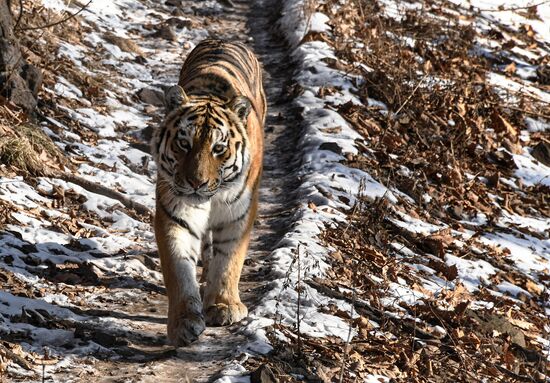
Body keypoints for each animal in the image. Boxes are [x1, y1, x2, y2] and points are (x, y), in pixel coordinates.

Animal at [152, 39, 266, 348]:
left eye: (219, 148)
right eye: (184, 144)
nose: (196, 183)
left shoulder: (239, 213)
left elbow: (229, 260)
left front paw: (224, 306)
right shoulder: (174, 211)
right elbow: (178, 269)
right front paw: (183, 323)